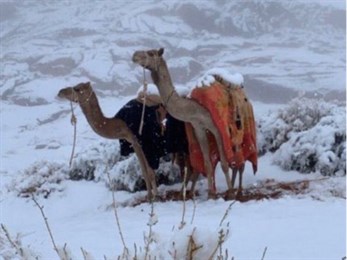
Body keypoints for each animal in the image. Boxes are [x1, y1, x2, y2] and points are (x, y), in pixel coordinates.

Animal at [133, 47, 237, 198]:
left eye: (151, 53)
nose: (134, 55)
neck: (194, 108)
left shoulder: (216, 127)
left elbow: (223, 162)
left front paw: (230, 194)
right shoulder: (198, 127)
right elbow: (207, 164)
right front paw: (211, 194)